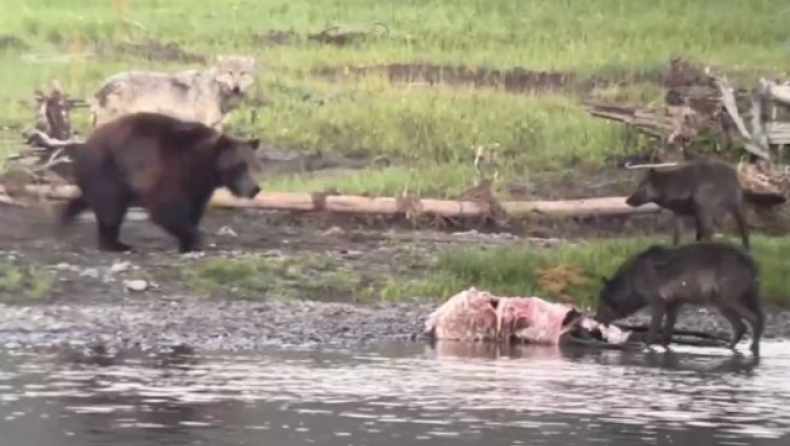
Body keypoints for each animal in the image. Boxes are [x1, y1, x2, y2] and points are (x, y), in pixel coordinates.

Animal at [60, 110, 262, 253]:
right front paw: (194, 240)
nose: (255, 189)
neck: (204, 166)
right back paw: (115, 244)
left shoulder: (199, 187)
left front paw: (188, 243)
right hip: (108, 170)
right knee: (111, 208)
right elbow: (166, 208)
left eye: (253, 165)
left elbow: (194, 209)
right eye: (239, 166)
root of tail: (87, 142)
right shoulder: (170, 171)